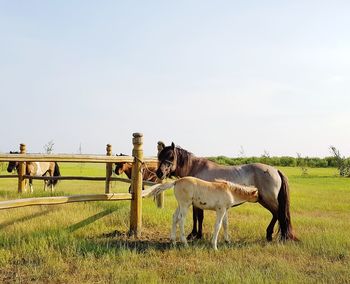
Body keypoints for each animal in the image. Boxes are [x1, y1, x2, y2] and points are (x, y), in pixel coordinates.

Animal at [157, 144, 296, 242]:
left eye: (171, 157)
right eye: (159, 156)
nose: (159, 173)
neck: (196, 168)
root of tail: (275, 170)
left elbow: (198, 217)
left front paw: (195, 235)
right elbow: (196, 217)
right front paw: (195, 234)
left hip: (268, 200)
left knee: (279, 215)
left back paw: (281, 237)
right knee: (276, 215)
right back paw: (270, 235)